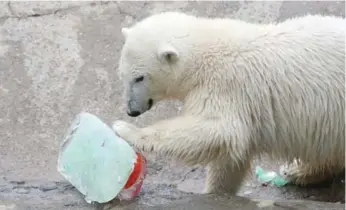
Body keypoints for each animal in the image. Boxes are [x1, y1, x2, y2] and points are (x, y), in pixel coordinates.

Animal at [112, 11, 344, 194]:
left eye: (139, 77)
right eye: (123, 75)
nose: (131, 110)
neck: (204, 50)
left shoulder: (226, 86)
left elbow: (217, 129)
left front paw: (125, 129)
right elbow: (231, 155)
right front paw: (216, 191)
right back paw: (297, 170)